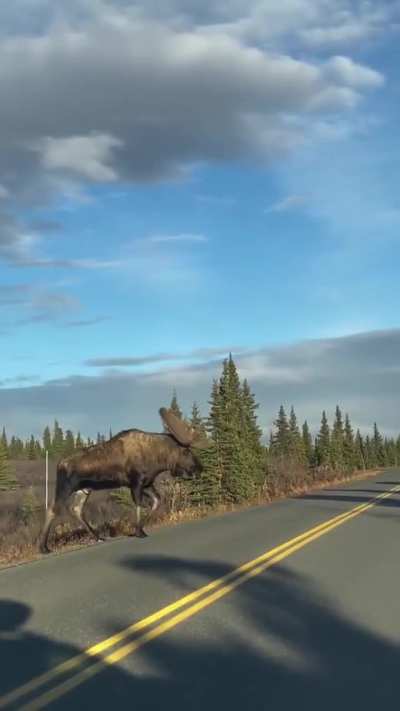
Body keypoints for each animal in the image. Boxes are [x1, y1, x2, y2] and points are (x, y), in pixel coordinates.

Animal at [39, 407, 208, 553]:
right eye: (186, 451)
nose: (199, 468)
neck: (158, 457)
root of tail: (59, 464)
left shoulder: (147, 483)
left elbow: (157, 501)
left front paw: (140, 528)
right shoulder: (136, 482)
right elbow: (140, 504)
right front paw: (138, 531)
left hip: (84, 489)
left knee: (76, 509)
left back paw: (98, 537)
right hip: (65, 487)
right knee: (52, 508)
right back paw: (43, 547)